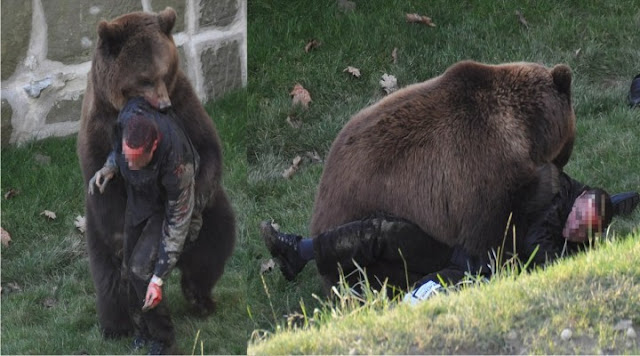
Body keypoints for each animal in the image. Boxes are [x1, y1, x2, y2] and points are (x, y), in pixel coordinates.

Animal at [75, 6, 235, 338]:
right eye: (144, 78)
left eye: (165, 72)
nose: (162, 105)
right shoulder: (98, 127)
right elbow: (105, 186)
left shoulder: (183, 100)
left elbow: (207, 146)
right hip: (95, 230)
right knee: (108, 276)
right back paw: (119, 324)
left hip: (214, 216)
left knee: (216, 240)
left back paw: (198, 296)